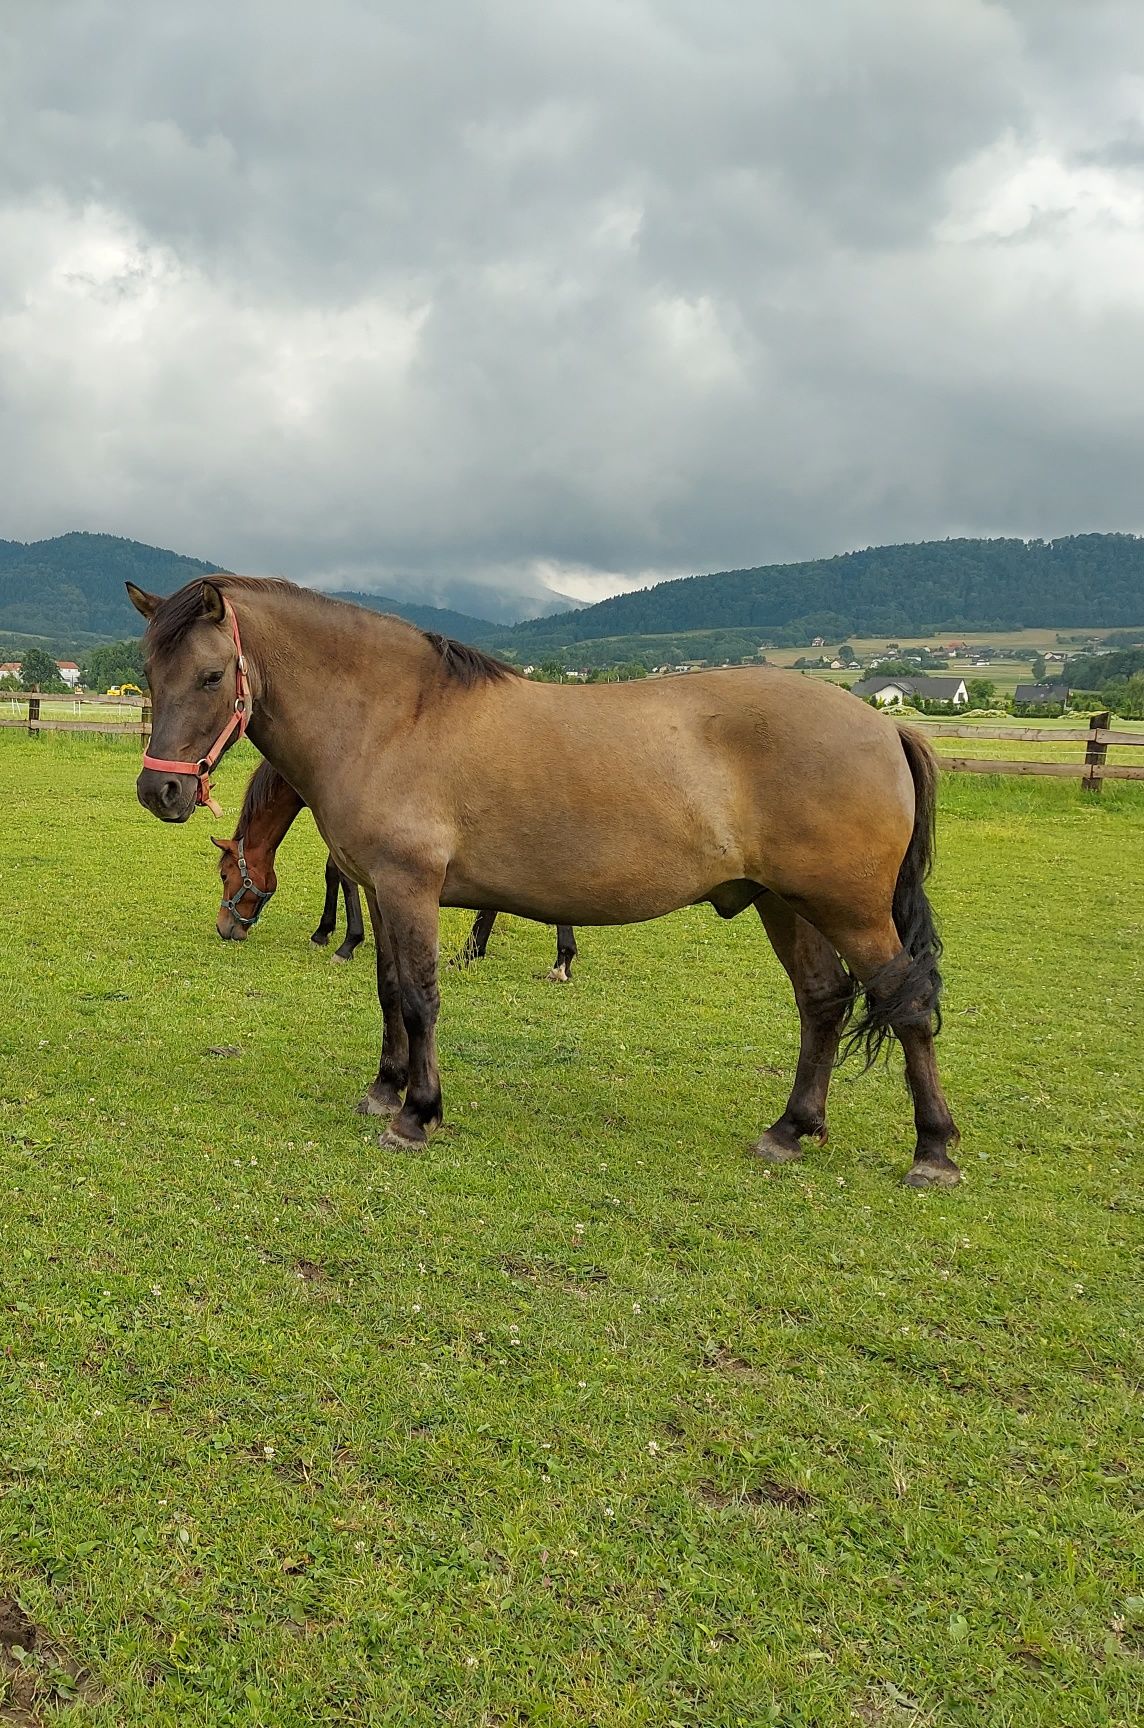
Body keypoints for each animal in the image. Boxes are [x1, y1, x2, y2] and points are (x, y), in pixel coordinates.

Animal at [218, 760, 584, 988]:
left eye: (223, 875)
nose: (224, 929)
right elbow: (334, 872)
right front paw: (325, 931)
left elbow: (340, 875)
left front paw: (346, 942)